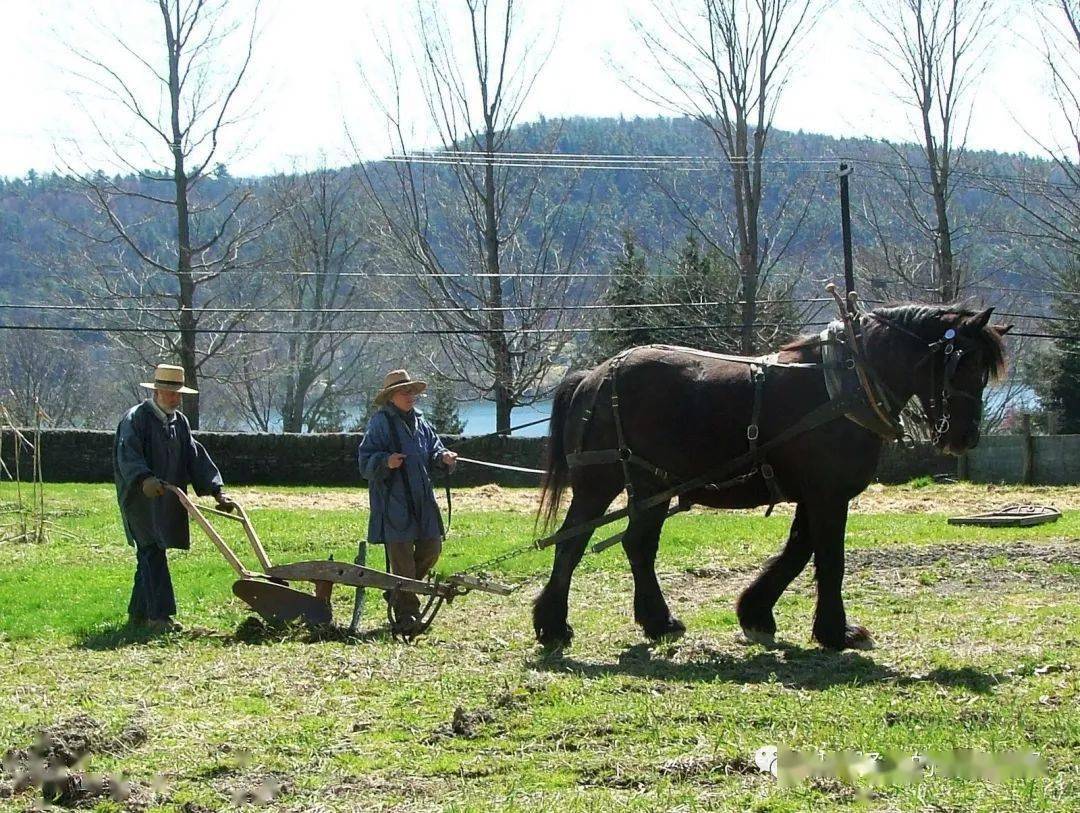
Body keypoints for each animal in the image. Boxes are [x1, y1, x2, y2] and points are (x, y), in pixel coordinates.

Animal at [535, 304, 1006, 652]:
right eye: (962, 363)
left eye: (985, 369)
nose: (966, 436)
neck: (846, 384)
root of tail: (593, 377)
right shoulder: (828, 494)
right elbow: (829, 559)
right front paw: (836, 631)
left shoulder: (816, 494)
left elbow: (798, 551)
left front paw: (757, 613)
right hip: (602, 481)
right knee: (575, 542)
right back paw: (555, 625)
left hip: (651, 485)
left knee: (635, 544)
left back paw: (656, 621)